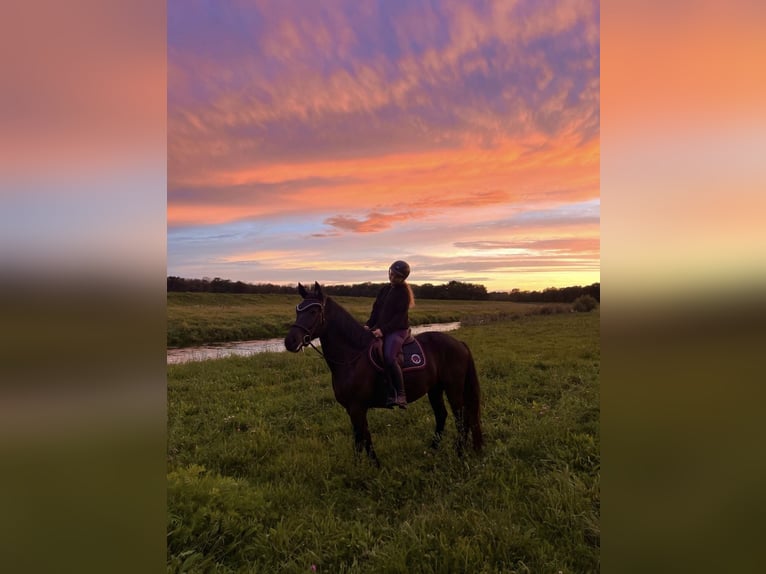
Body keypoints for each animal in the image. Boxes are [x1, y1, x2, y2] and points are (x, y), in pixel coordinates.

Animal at [284, 284, 484, 468]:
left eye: (314, 311)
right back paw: (433, 450)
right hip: (435, 389)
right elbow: (363, 437)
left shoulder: (357, 407)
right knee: (442, 415)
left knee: (461, 418)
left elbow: (361, 439)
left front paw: (365, 468)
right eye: (297, 309)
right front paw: (370, 465)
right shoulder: (353, 408)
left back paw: (459, 452)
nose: (290, 341)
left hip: (453, 389)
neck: (352, 357)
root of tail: (459, 343)